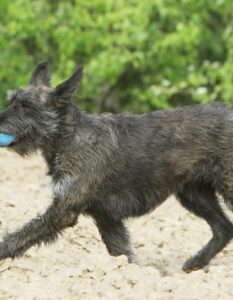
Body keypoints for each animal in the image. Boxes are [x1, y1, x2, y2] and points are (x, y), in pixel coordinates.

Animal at [0, 61, 233, 272]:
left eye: (26, 107)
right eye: (12, 101)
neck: (70, 138)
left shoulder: (64, 210)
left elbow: (22, 234)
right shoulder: (107, 218)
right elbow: (122, 252)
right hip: (194, 194)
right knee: (224, 228)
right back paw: (196, 262)